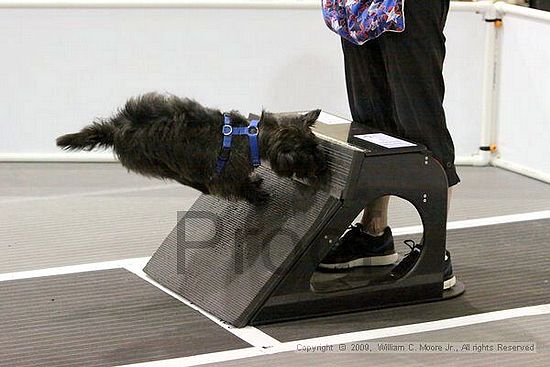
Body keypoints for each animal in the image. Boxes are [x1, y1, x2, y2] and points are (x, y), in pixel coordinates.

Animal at [57, 92, 328, 206]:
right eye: (309, 156)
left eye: (316, 147)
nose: (322, 169)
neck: (251, 137)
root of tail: (113, 128)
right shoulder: (226, 178)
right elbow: (240, 187)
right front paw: (256, 194)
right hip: (162, 165)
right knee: (189, 180)